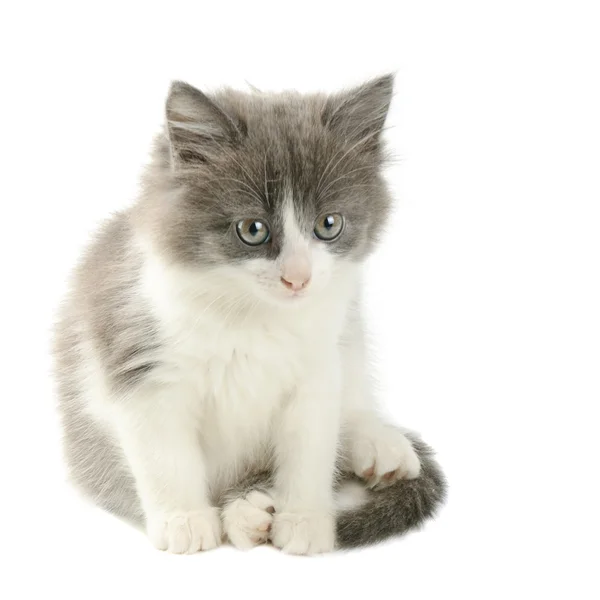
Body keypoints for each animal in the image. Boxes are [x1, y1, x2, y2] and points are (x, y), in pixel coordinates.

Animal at [52, 75, 446, 552]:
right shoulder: (141, 360)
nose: (298, 278)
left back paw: (377, 444)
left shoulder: (317, 368)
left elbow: (311, 446)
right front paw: (186, 520)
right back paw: (245, 512)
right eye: (253, 230)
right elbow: (165, 456)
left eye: (329, 224)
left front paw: (304, 520)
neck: (253, 314)